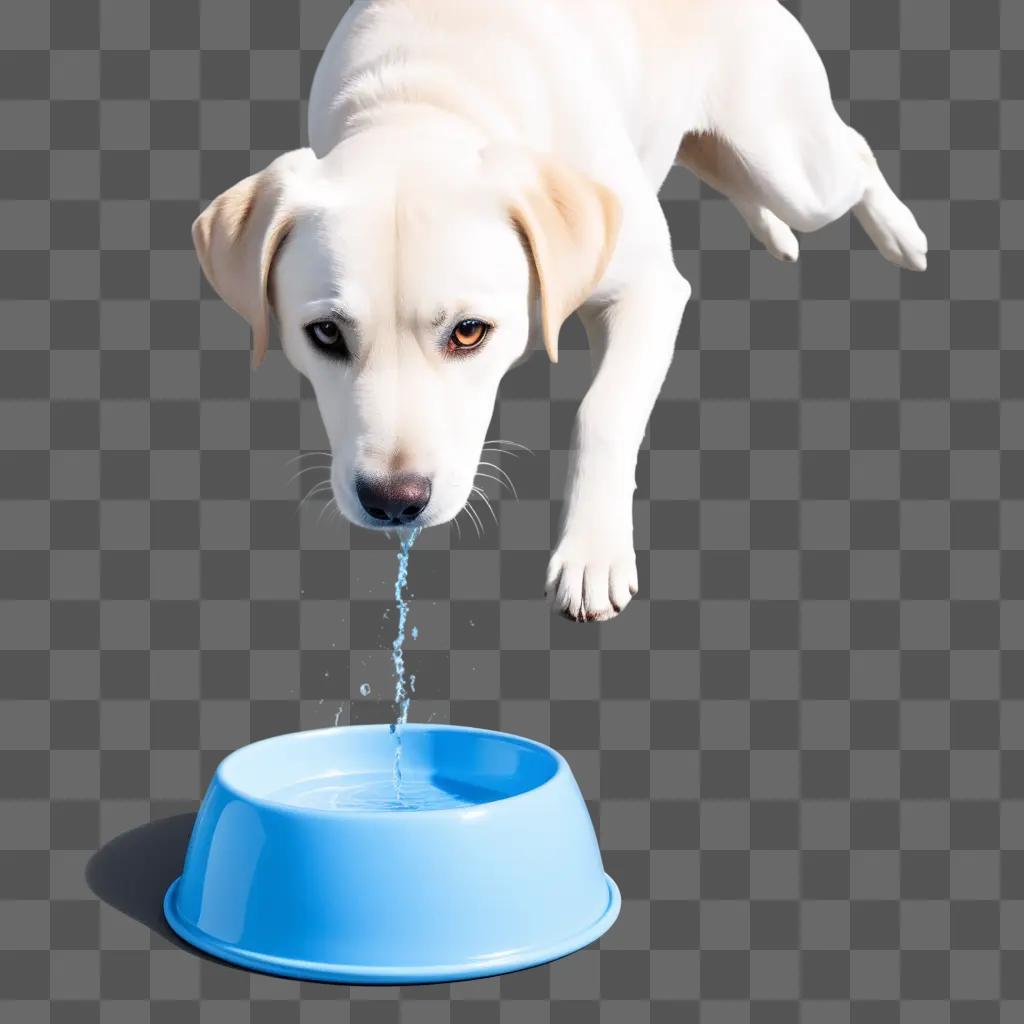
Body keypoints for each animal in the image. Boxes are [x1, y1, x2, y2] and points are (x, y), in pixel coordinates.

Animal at [192, 0, 929, 618]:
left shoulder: (650, 291)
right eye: (324, 334)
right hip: (724, 153)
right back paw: (776, 237)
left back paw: (901, 236)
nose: (393, 502)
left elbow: (603, 411)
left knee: (853, 153)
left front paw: (592, 557)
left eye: (469, 333)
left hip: (791, 165)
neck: (423, 96)